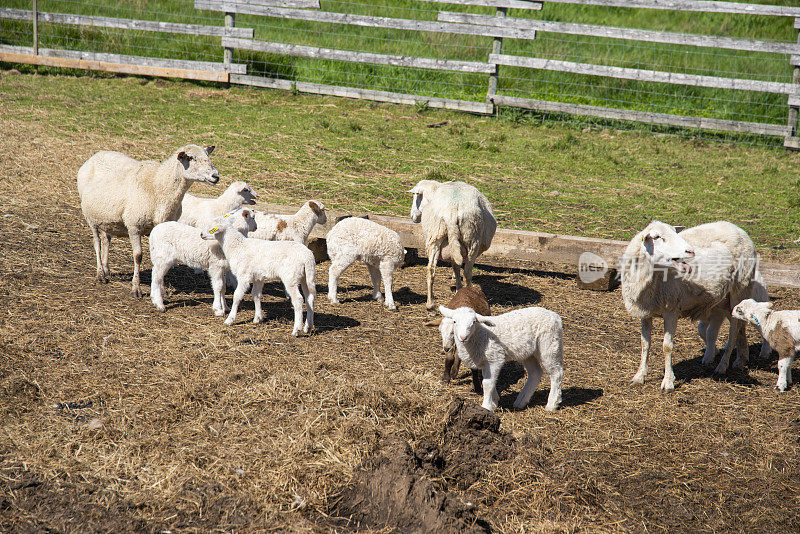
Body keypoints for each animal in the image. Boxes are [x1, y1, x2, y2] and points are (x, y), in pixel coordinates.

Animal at [77, 144, 219, 300]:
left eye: (208, 156)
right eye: (191, 158)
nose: (215, 176)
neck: (159, 185)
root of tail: (96, 155)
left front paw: (162, 290)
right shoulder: (134, 226)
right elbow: (138, 256)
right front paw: (136, 289)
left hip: (106, 219)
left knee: (106, 239)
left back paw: (107, 269)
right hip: (90, 217)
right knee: (97, 243)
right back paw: (100, 274)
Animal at [410, 181, 496, 310]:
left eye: (416, 196)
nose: (412, 217)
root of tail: (452, 210)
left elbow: (455, 266)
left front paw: (457, 287)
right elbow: (458, 268)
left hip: (435, 235)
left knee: (431, 269)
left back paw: (430, 303)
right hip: (472, 238)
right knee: (467, 273)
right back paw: (469, 292)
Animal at [620, 220, 760, 392]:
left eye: (675, 232)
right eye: (657, 237)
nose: (690, 250)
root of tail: (738, 228)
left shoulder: (671, 310)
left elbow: (667, 346)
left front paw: (668, 382)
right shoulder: (645, 312)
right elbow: (645, 344)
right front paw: (639, 376)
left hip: (740, 288)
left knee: (733, 330)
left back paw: (722, 365)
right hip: (726, 299)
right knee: (740, 325)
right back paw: (741, 359)